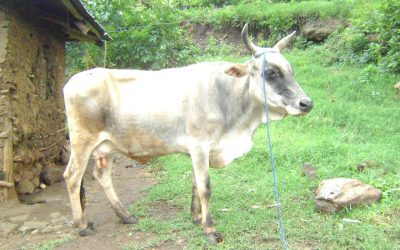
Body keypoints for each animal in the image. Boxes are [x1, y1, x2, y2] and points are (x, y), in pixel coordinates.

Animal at [63, 23, 312, 244]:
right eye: (270, 72)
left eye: (291, 71)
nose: (306, 103)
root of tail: (73, 80)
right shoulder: (200, 145)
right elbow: (205, 187)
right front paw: (209, 229)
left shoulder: (200, 150)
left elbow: (194, 183)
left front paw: (196, 217)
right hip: (82, 141)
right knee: (73, 176)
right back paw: (82, 224)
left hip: (107, 146)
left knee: (102, 176)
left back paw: (125, 215)